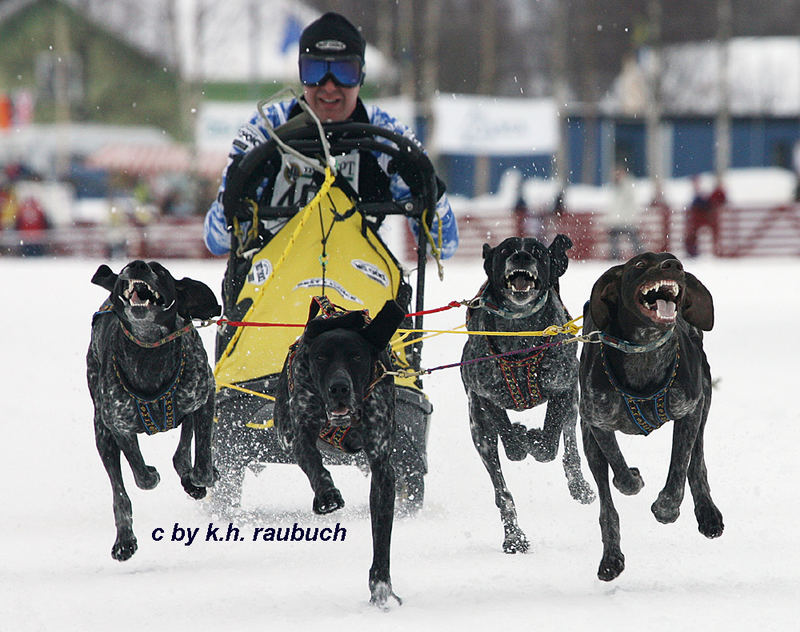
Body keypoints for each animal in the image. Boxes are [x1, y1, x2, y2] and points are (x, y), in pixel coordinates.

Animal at [87, 260, 220, 560]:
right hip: (102, 434)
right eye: (127, 265)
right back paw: (124, 540)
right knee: (120, 491)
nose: (136, 265)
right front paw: (150, 473)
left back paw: (190, 482)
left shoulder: (204, 398)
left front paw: (200, 478)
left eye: (159, 269)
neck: (149, 354)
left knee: (181, 455)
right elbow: (141, 476)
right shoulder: (119, 424)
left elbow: (202, 464)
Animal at [276, 296, 410, 608]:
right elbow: (314, 464)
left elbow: (381, 536)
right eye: (321, 357)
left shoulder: (382, 466)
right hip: (284, 430)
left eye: (356, 356)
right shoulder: (300, 435)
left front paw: (381, 587)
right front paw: (327, 494)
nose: (339, 387)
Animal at [460, 236, 596, 552]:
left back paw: (578, 484)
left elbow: (549, 444)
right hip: (479, 434)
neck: (519, 334)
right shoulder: (485, 399)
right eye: (506, 249)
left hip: (574, 405)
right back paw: (514, 536)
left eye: (537, 251)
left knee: (569, 446)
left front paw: (533, 438)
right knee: (501, 488)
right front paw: (521, 436)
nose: (522, 256)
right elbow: (509, 439)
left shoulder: (563, 389)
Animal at [580, 252, 720, 584]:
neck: (643, 354)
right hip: (586, 438)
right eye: (640, 265)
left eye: (675, 260)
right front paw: (632, 480)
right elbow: (619, 471)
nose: (674, 267)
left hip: (705, 400)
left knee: (696, 462)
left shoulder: (690, 410)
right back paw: (611, 557)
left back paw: (708, 513)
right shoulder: (597, 422)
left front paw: (666, 509)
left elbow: (679, 467)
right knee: (607, 503)